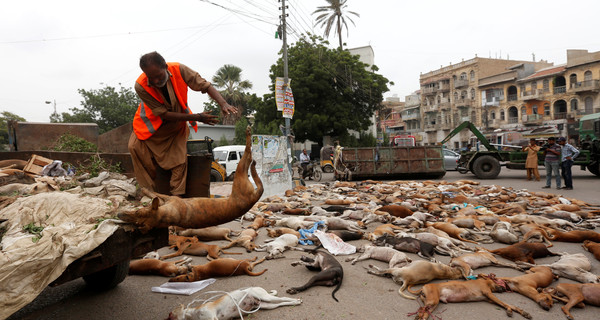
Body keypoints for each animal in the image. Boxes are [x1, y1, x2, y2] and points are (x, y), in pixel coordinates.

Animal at [118, 125, 264, 232]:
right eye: (137, 222)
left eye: (138, 212)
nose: (119, 215)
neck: (168, 216)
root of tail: (253, 199)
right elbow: (154, 194)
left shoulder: (171, 198)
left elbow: (153, 193)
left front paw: (144, 190)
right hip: (241, 178)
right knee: (250, 163)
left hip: (239, 176)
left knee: (248, 154)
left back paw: (249, 136)